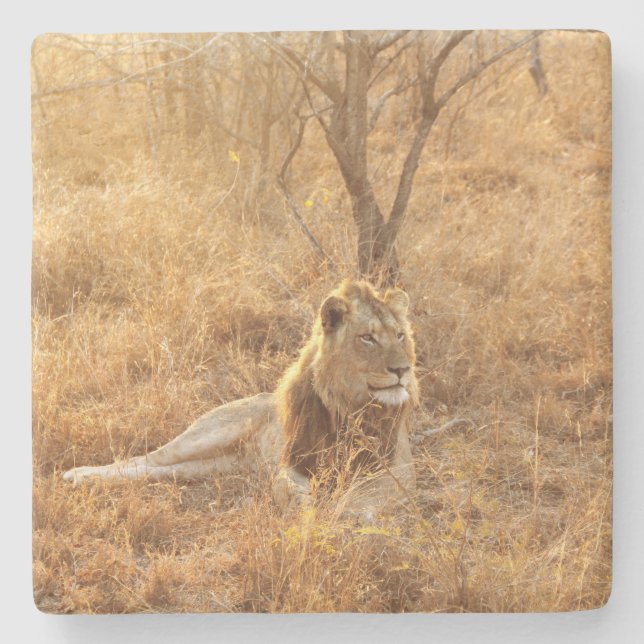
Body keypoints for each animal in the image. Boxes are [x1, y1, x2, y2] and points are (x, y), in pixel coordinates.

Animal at [62, 280, 419, 516]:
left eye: (401, 335)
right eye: (368, 338)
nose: (403, 369)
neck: (351, 405)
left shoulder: (399, 467)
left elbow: (365, 493)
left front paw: (345, 512)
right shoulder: (292, 462)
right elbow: (288, 489)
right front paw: (308, 510)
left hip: (212, 465)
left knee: (159, 470)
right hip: (207, 435)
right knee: (144, 459)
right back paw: (80, 475)